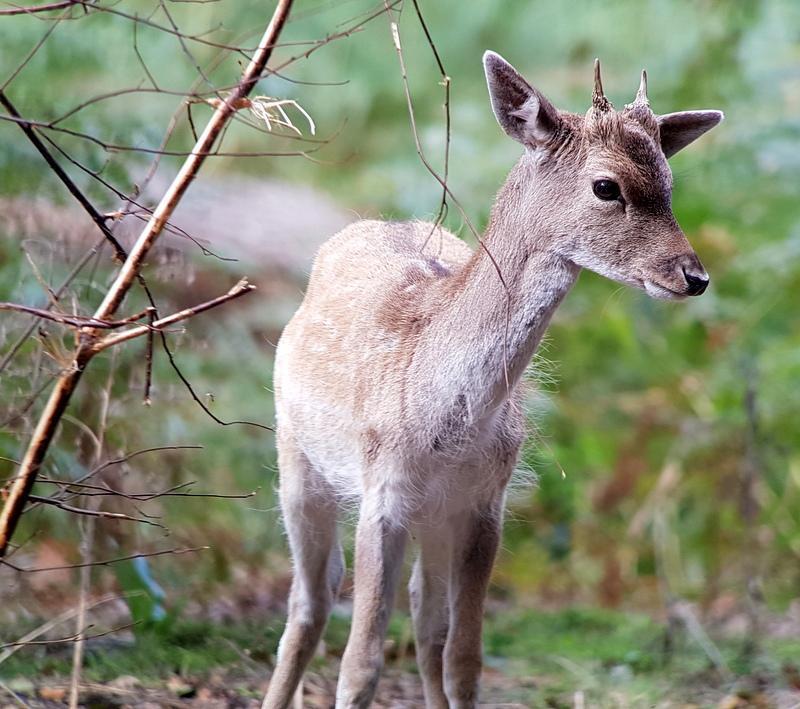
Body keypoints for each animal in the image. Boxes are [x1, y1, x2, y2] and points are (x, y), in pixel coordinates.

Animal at [264, 52, 724, 704]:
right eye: (606, 186)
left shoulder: (486, 504)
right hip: (296, 458)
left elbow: (464, 657)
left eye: (668, 183)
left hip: (434, 516)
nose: (693, 276)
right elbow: (360, 664)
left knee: (424, 619)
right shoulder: (383, 493)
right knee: (311, 600)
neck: (443, 421)